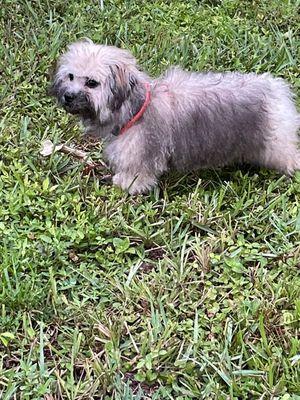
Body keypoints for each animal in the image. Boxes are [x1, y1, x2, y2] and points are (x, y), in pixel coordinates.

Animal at [49, 39, 300, 194]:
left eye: (92, 83)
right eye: (70, 76)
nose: (68, 96)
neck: (135, 107)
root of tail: (277, 90)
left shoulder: (141, 150)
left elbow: (136, 172)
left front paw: (126, 184)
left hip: (276, 143)